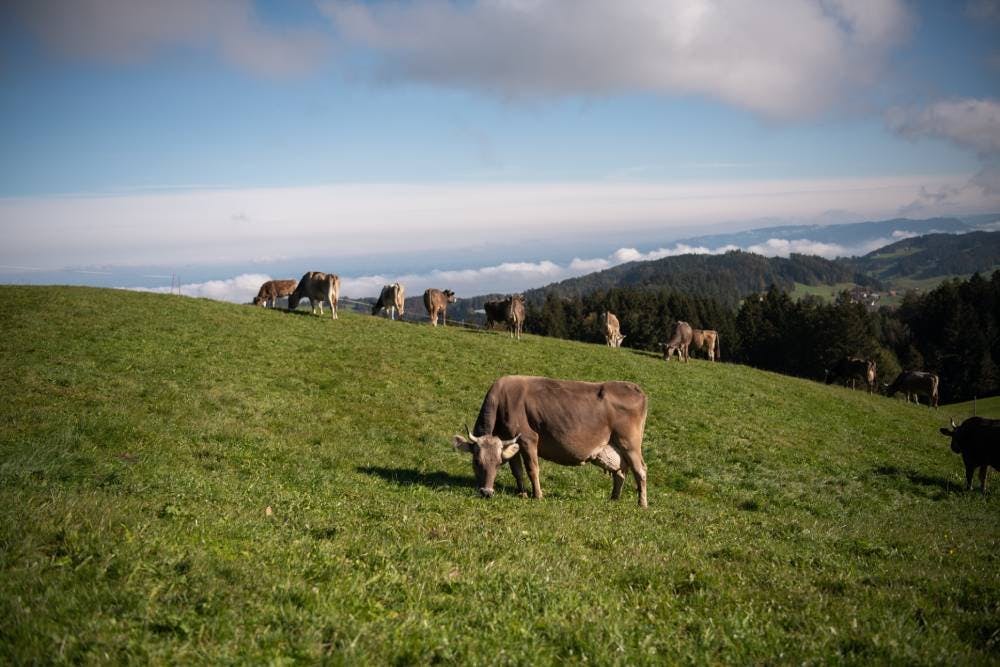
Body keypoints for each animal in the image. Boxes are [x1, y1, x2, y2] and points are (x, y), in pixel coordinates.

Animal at [452, 375, 649, 507]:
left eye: (498, 463)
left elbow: (532, 469)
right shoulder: (511, 440)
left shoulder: (528, 438)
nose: (486, 492)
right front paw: (522, 493)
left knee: (640, 470)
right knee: (621, 472)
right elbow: (517, 470)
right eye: (476, 462)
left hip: (630, 444)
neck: (502, 400)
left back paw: (642, 503)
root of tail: (633, 387)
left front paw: (538, 495)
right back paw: (614, 498)